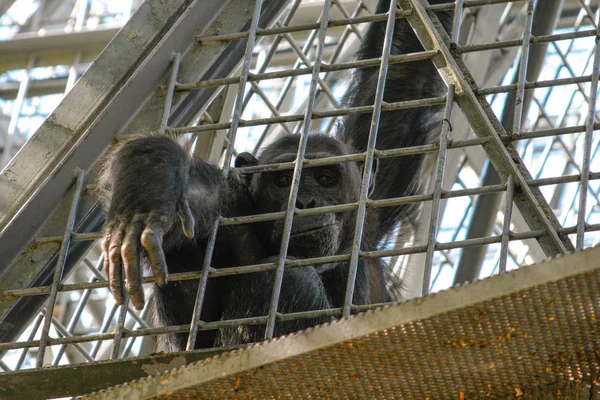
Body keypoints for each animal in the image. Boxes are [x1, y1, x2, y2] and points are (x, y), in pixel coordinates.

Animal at [98, 0, 452, 350]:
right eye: (283, 180)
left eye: (325, 178)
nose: (305, 201)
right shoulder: (227, 212)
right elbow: (197, 198)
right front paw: (150, 192)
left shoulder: (374, 202)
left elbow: (400, 78)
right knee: (292, 280)